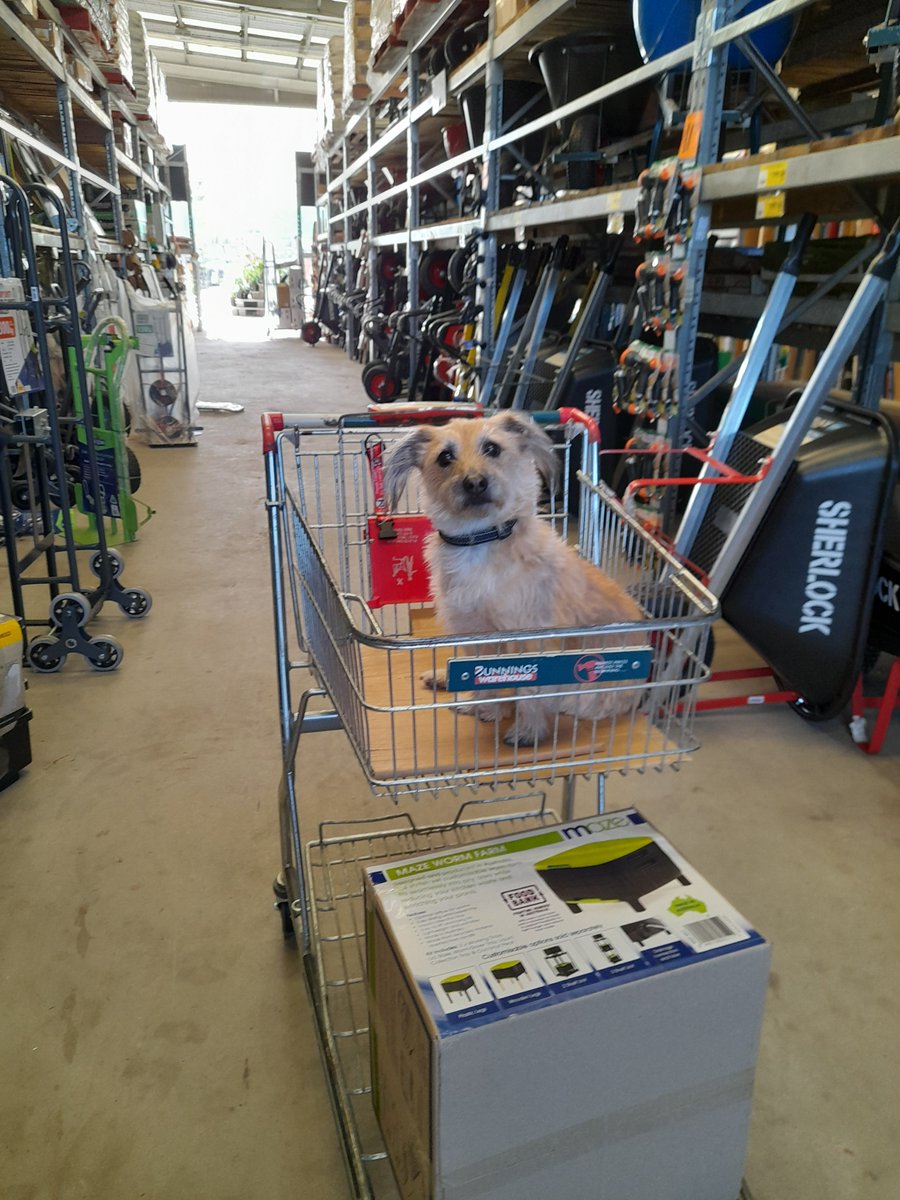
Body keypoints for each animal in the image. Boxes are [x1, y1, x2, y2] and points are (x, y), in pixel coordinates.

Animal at [386, 417, 648, 744]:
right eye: (444, 457)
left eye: (492, 448)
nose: (475, 483)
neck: (481, 539)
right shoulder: (472, 630)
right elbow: (481, 677)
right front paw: (481, 704)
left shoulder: (530, 640)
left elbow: (528, 690)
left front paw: (526, 730)